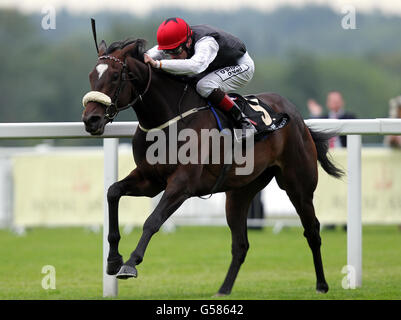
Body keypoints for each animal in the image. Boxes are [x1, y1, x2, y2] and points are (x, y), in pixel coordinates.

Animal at [82, 37, 344, 296]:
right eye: (92, 75)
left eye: (115, 76)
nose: (90, 120)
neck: (169, 120)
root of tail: (297, 117)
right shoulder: (150, 180)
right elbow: (113, 192)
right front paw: (113, 259)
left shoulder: (182, 184)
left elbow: (152, 221)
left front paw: (130, 263)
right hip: (240, 192)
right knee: (240, 244)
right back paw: (223, 289)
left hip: (299, 186)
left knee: (312, 231)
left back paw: (322, 285)